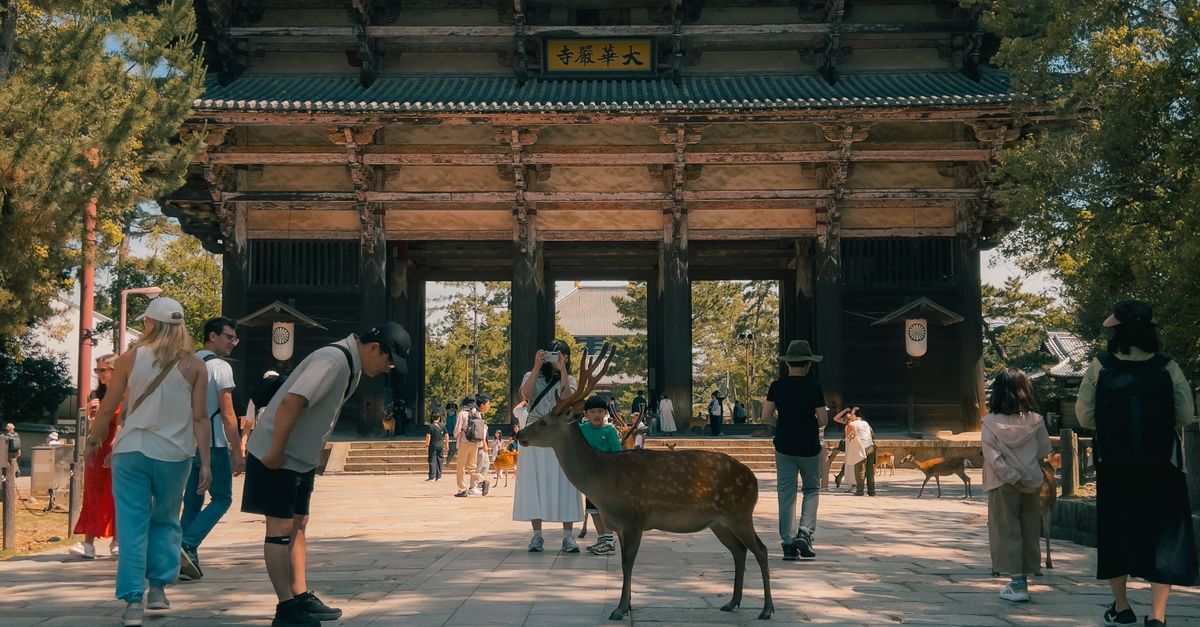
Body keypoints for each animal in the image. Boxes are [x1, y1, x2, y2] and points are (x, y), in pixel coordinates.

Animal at [518, 345, 773, 621]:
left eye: (543, 422)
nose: (520, 435)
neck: (603, 480)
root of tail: (753, 479)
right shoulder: (621, 524)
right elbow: (625, 562)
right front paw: (626, 606)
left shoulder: (634, 517)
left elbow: (627, 563)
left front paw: (620, 609)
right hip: (719, 522)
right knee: (739, 551)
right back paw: (732, 602)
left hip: (740, 512)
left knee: (761, 549)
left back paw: (766, 609)